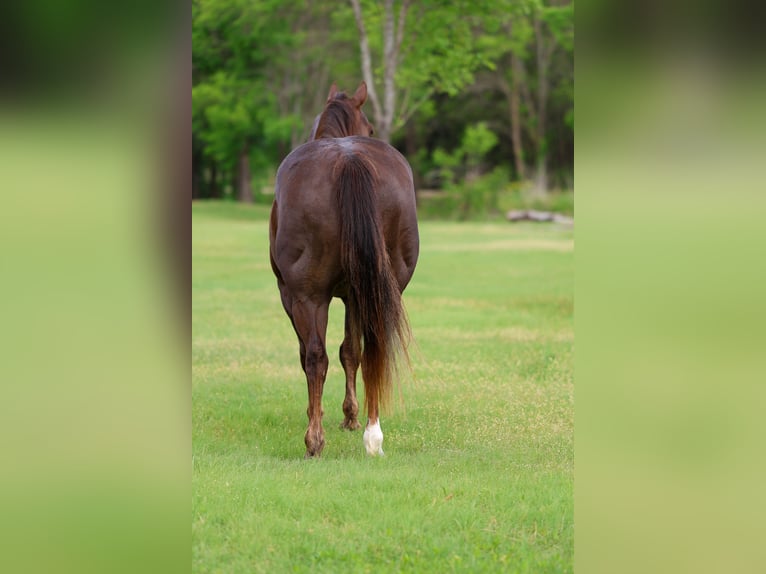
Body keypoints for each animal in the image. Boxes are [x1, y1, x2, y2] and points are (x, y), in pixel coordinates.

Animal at [269, 81, 419, 458]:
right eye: (371, 127)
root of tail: (350, 160)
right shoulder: (354, 294)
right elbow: (352, 351)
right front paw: (352, 416)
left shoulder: (290, 294)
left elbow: (314, 354)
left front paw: (324, 415)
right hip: (381, 289)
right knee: (376, 349)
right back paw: (373, 435)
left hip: (307, 295)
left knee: (315, 357)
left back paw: (314, 440)